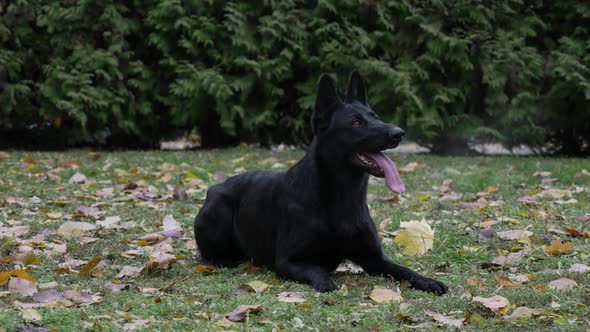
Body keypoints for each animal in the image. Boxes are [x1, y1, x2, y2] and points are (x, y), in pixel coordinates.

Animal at [194, 71, 448, 294]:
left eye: (376, 117)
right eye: (356, 123)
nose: (398, 133)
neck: (341, 195)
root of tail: (215, 188)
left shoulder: (375, 259)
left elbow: (403, 270)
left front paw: (427, 281)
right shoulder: (288, 261)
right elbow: (316, 271)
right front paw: (326, 284)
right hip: (219, 210)